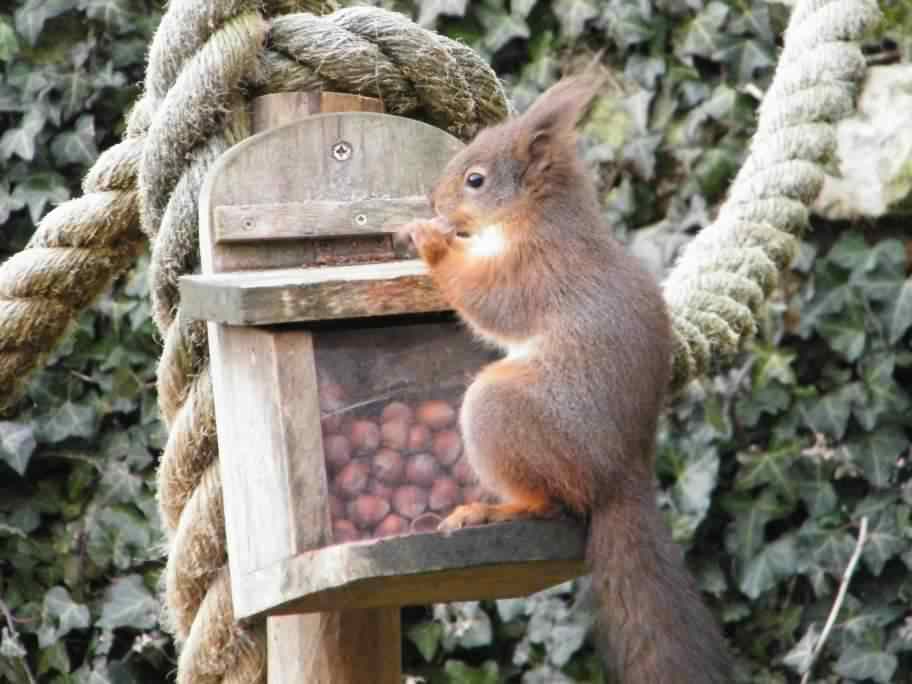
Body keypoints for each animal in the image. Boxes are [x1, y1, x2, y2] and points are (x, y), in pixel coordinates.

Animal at [402, 76, 732, 684]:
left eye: (476, 179)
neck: (537, 219)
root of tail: (620, 474)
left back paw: (489, 509)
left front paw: (431, 241)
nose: (432, 200)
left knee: (549, 503)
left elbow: (485, 300)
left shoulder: (532, 274)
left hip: (503, 412)